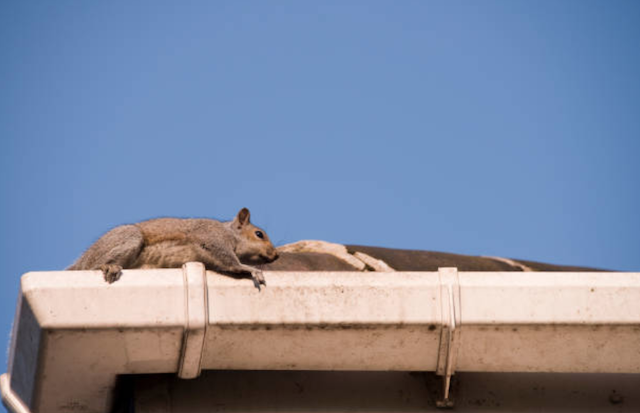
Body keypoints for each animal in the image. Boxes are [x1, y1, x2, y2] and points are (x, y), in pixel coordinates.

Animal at [66, 208, 278, 288]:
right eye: (259, 234)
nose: (275, 256)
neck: (230, 233)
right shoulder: (211, 237)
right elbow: (229, 260)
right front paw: (250, 269)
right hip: (129, 237)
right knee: (93, 266)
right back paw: (109, 266)